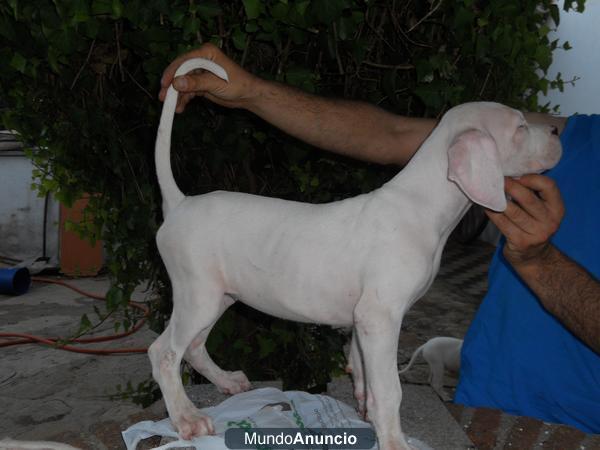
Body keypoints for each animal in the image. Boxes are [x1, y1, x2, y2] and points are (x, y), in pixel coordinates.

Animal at [150, 58, 564, 450]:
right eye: (521, 126)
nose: (557, 131)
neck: (421, 203)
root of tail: (180, 203)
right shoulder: (379, 317)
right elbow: (391, 389)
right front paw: (395, 441)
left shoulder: (364, 322)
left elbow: (364, 370)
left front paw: (366, 410)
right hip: (198, 295)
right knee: (164, 353)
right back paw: (187, 419)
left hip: (219, 295)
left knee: (194, 346)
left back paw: (224, 382)